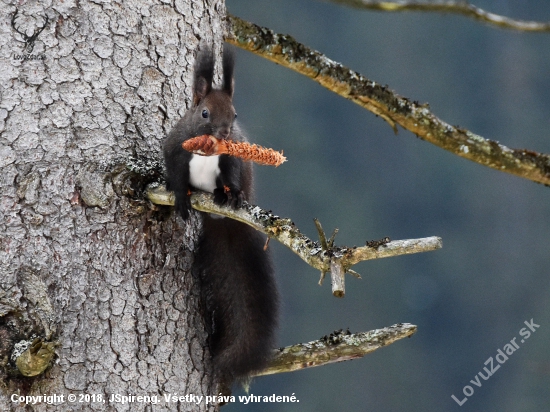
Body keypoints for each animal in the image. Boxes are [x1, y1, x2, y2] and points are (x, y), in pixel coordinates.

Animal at [162, 43, 278, 384]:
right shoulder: (174, 149)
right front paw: (179, 196)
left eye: (235, 114)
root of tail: (222, 223)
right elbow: (176, 175)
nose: (226, 132)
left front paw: (232, 193)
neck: (208, 149)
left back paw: (224, 197)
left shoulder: (231, 160)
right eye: (204, 113)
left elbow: (232, 175)